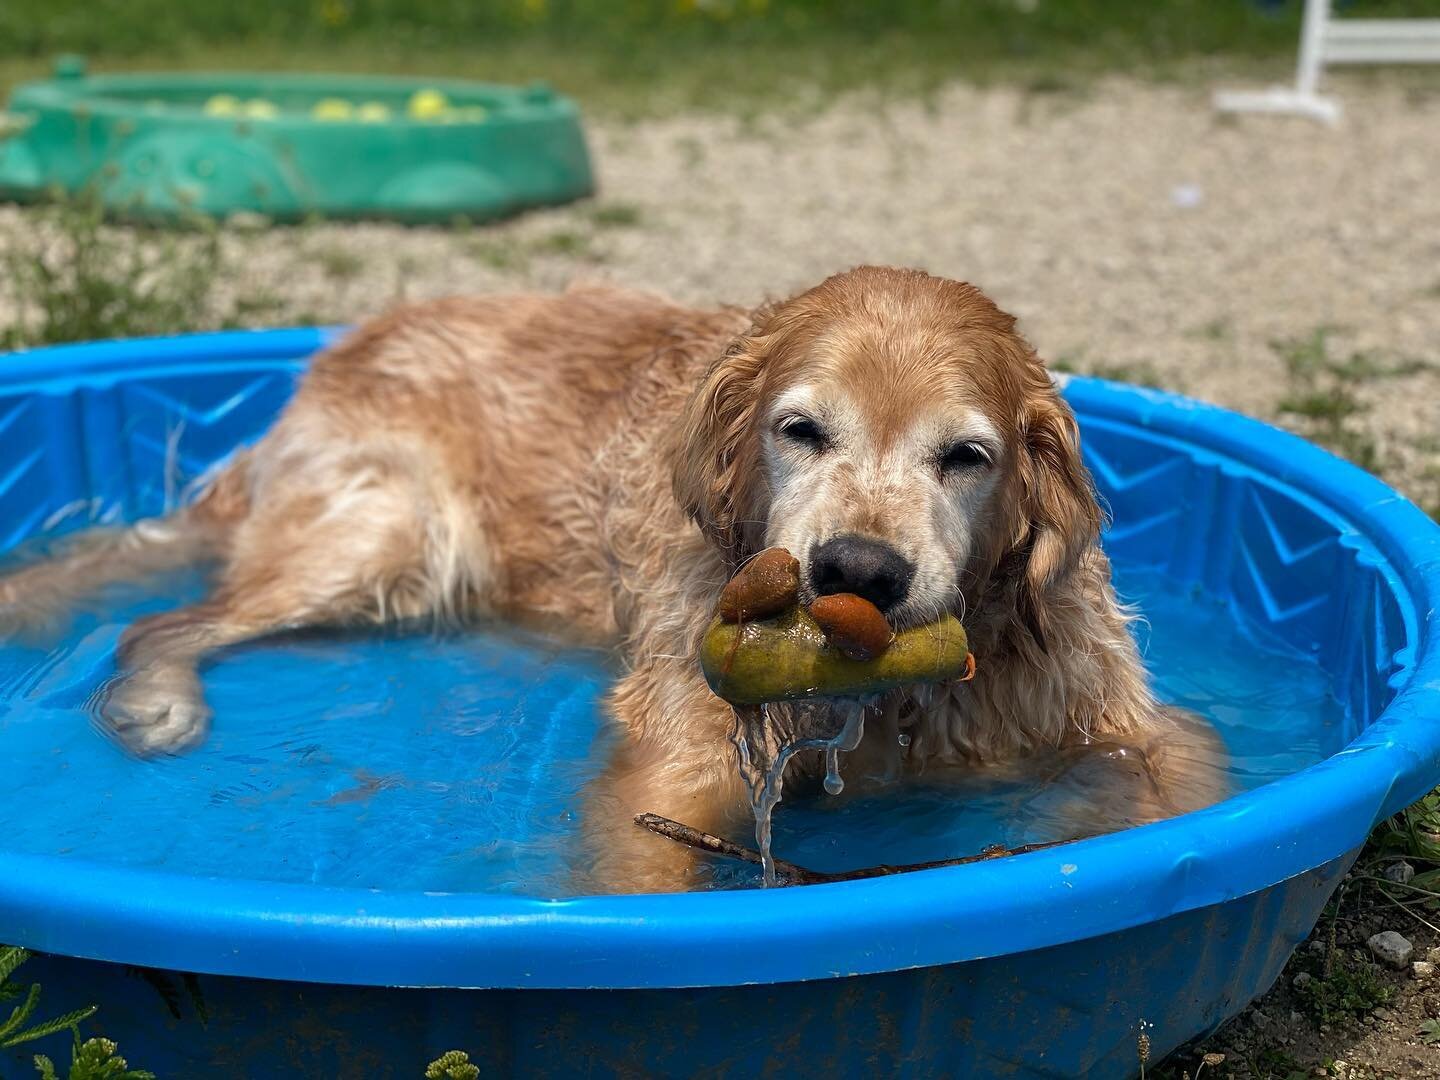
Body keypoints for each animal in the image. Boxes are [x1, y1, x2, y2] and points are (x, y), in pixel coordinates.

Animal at [0, 266, 1226, 892]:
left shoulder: (1119, 715)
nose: (859, 570)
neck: (888, 704)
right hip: (384, 534)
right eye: (800, 430)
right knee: (164, 620)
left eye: (966, 456)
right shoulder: (680, 750)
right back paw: (156, 699)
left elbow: (1189, 788)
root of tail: (334, 351)